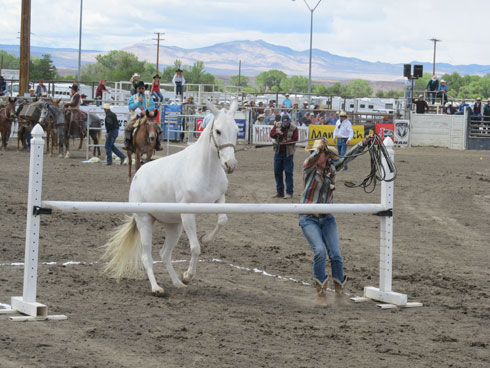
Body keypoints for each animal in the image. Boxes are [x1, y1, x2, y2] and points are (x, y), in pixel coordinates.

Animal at [103, 98, 239, 296]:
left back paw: (177, 283)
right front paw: (188, 275)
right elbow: (195, 248)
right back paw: (157, 288)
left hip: (174, 226)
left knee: (164, 254)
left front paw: (206, 238)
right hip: (145, 221)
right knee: (147, 257)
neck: (204, 168)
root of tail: (137, 175)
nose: (230, 165)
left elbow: (223, 220)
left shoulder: (219, 199)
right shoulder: (188, 213)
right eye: (218, 131)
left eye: (237, 130)